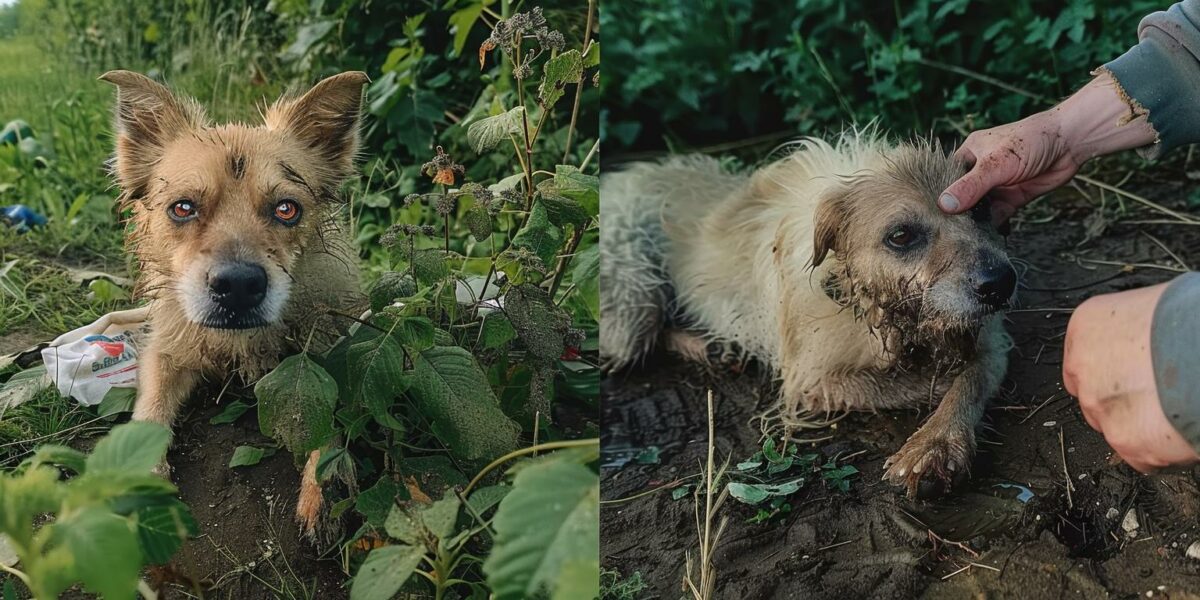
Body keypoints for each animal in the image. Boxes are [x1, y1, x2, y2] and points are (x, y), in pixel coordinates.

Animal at [100, 71, 364, 535]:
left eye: (287, 209)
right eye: (183, 207)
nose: (238, 286)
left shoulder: (322, 352)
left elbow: (326, 415)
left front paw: (322, 488)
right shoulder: (165, 351)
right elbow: (150, 408)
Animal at [600, 132, 1012, 496]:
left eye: (979, 208)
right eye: (900, 236)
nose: (1001, 283)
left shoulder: (990, 345)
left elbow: (970, 378)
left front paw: (934, 444)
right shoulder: (813, 381)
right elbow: (906, 383)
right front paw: (932, 403)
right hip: (633, 296)